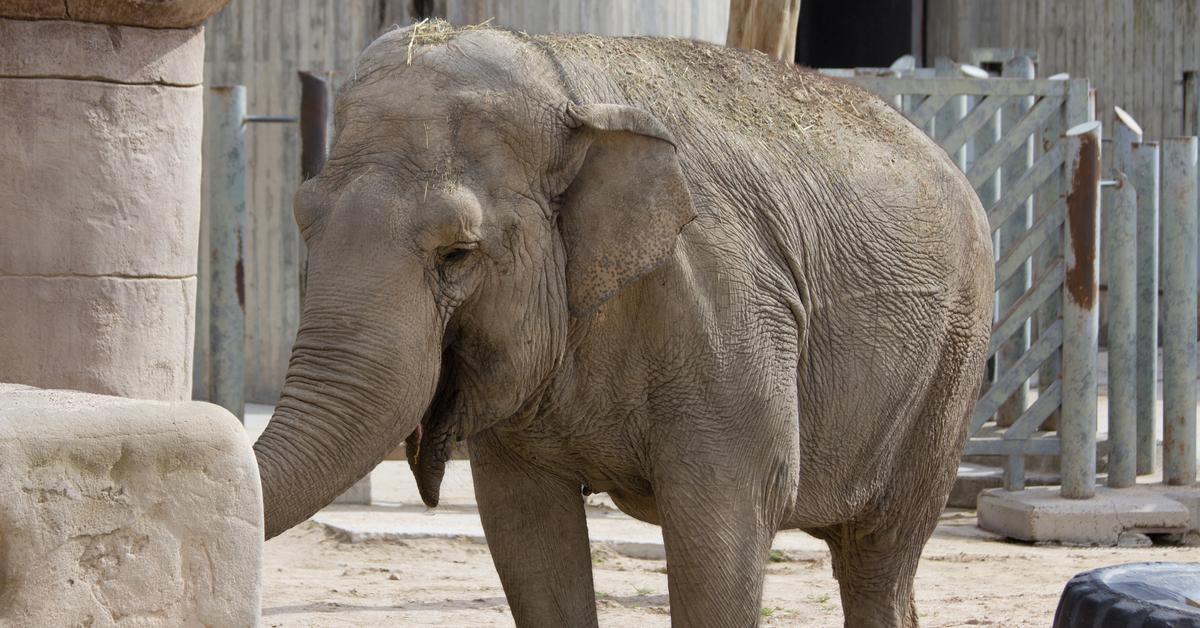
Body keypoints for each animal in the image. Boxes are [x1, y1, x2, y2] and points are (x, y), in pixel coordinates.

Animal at [253, 20, 993, 628]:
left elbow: (729, 523)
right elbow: (527, 530)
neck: (565, 79)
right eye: (302, 218)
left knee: (879, 556)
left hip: (949, 370)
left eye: (457, 253)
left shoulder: (728, 309)